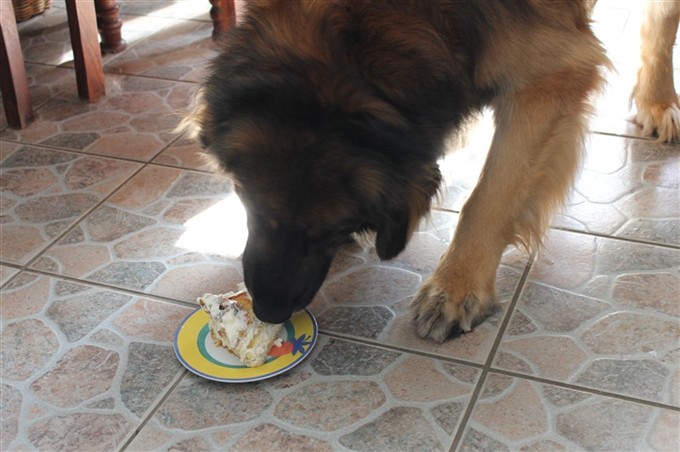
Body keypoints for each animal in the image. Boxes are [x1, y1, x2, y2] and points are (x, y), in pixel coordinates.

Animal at [194, 0, 608, 340]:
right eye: (248, 204)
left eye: (333, 227)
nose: (268, 310)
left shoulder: (548, 74)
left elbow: (488, 197)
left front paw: (454, 286)